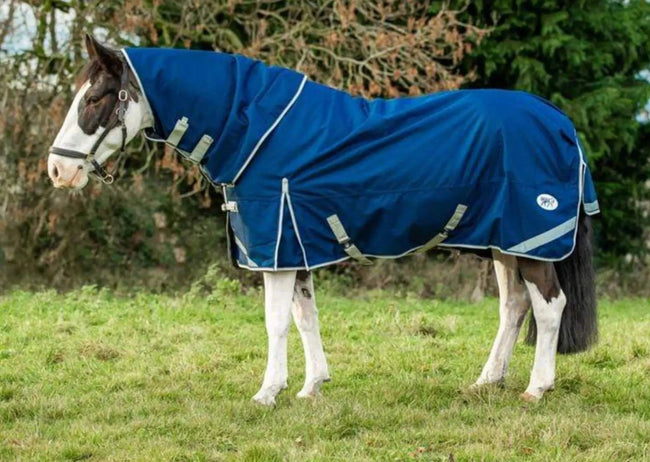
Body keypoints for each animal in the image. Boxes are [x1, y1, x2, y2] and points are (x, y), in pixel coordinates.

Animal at [48, 35, 599, 406]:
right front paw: (312, 387)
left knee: (550, 306)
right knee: (514, 307)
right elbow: (304, 317)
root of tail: (559, 121)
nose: (58, 169)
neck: (256, 131)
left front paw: (268, 392)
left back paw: (536, 388)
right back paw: (487, 381)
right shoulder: (294, 246)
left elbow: (275, 322)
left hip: (531, 239)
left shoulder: (275, 250)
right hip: (506, 244)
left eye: (94, 99)